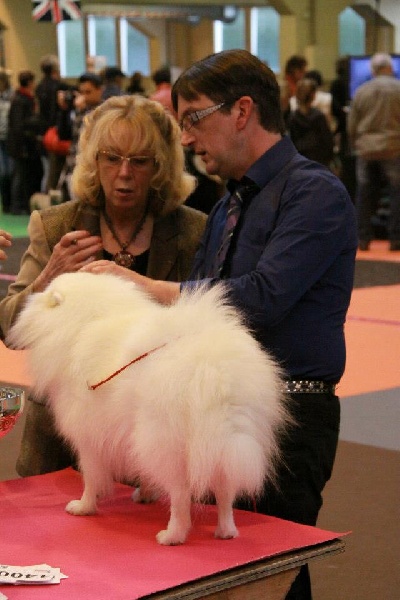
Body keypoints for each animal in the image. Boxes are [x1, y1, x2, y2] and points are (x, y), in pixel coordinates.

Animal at [8, 272, 289, 545]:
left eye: (48, 294)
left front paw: (84, 506)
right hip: (224, 441)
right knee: (225, 490)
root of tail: (215, 370)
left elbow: (91, 476)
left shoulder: (89, 434)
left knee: (180, 494)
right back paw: (226, 530)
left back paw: (172, 535)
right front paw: (145, 494)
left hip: (163, 439)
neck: (84, 323)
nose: (31, 296)